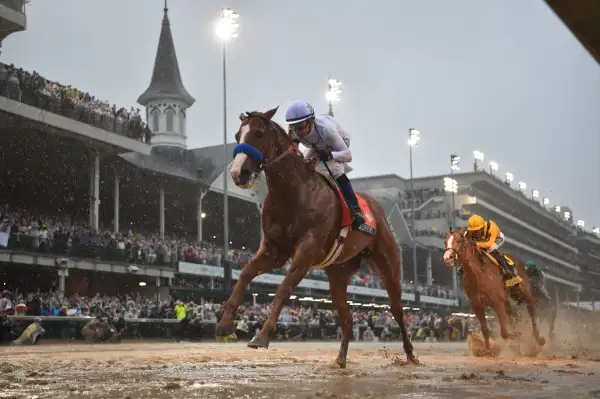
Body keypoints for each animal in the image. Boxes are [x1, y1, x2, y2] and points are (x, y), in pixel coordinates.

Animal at [216, 107, 418, 368]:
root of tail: (376, 208)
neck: (293, 193)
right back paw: (340, 359)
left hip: (387, 265)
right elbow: (245, 273)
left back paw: (411, 354)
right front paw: (225, 323)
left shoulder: (306, 251)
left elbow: (284, 288)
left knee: (397, 309)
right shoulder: (274, 250)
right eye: (237, 135)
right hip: (338, 273)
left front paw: (262, 335)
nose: (238, 173)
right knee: (347, 318)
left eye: (259, 133)